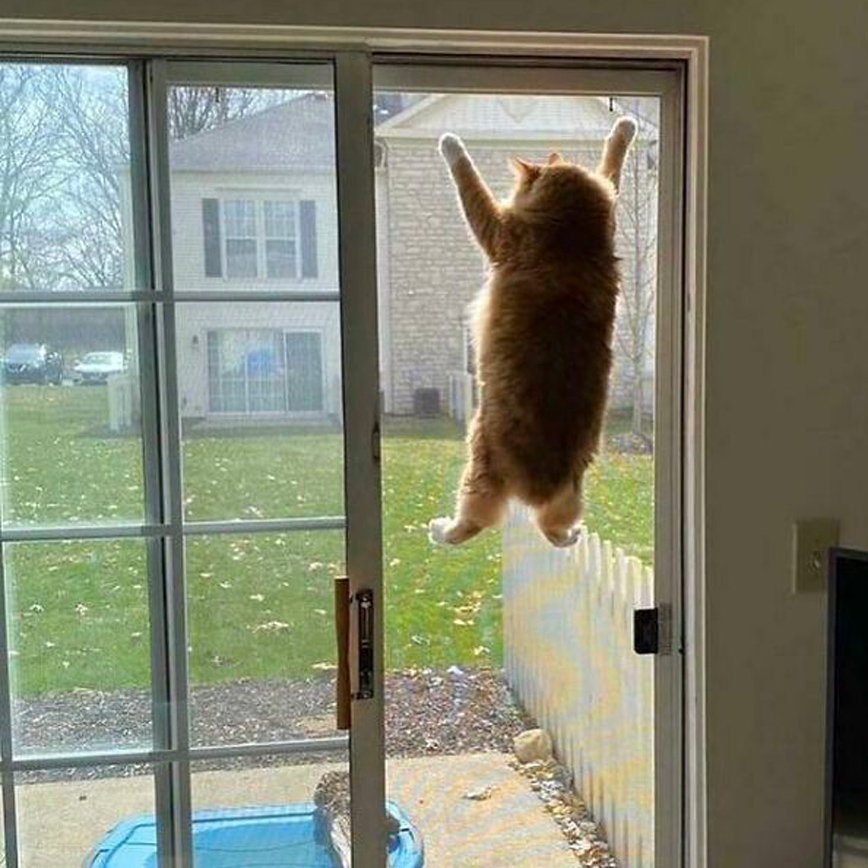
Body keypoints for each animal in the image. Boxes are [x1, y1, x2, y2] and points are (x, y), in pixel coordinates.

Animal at [429, 117, 637, 547]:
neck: (571, 238)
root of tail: (538, 487)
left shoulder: (495, 231)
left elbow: (468, 179)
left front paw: (451, 143)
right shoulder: (608, 209)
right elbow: (612, 163)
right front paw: (624, 127)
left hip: (478, 458)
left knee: (474, 521)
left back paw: (441, 532)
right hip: (574, 486)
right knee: (553, 524)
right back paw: (569, 536)